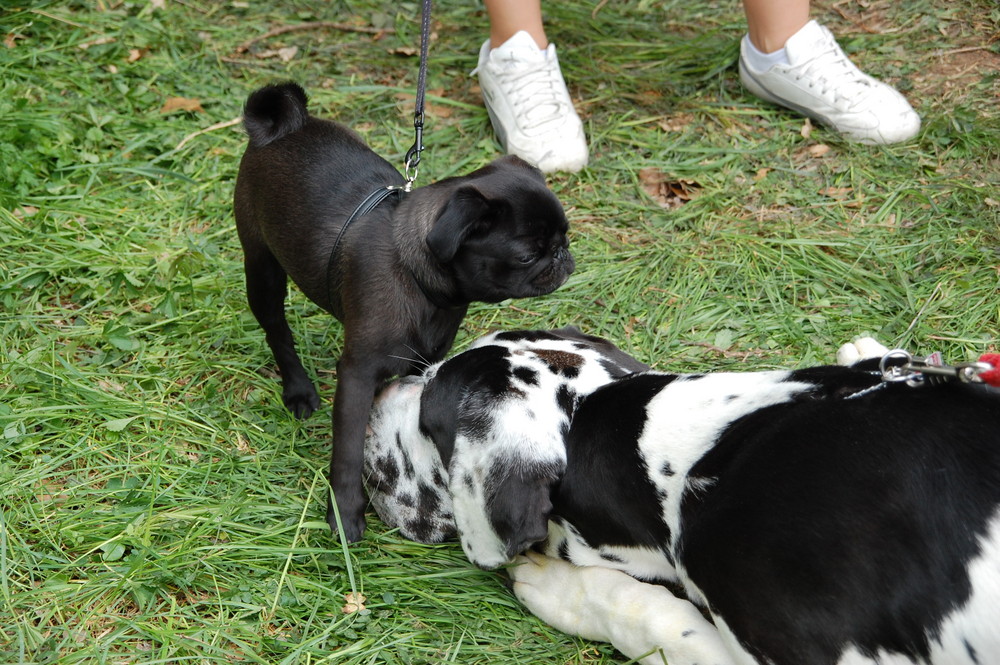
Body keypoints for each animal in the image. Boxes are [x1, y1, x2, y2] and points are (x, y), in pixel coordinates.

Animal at [233, 81, 576, 540]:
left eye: (564, 236)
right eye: (526, 255)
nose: (561, 254)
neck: (417, 279)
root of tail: (284, 125)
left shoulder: (423, 361)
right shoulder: (357, 375)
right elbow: (347, 450)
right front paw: (345, 512)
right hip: (262, 267)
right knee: (277, 331)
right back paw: (299, 390)